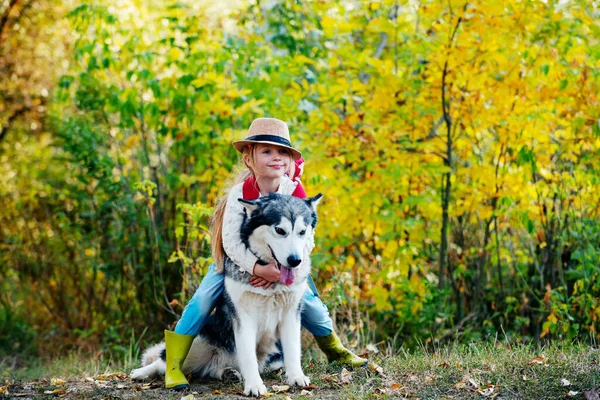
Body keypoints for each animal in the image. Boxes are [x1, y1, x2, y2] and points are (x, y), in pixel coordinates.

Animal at [129, 192, 322, 396]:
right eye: (280, 230)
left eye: (302, 232)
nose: (295, 260)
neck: (271, 285)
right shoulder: (243, 317)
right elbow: (248, 355)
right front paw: (254, 385)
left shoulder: (291, 314)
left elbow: (293, 349)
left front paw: (296, 377)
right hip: (199, 340)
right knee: (165, 361)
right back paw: (143, 372)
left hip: (273, 359)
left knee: (216, 370)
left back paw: (228, 372)